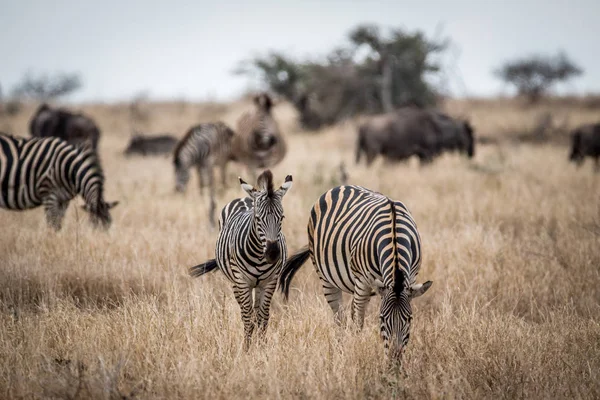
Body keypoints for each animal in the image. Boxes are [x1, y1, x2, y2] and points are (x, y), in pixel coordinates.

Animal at [188, 170, 290, 350]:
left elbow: (263, 315)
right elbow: (247, 315)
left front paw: (261, 346)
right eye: (258, 218)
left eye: (282, 217)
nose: (272, 254)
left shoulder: (270, 281)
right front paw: (247, 348)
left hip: (258, 284)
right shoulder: (242, 281)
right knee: (244, 310)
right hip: (236, 281)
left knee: (256, 311)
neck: (259, 256)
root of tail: (246, 197)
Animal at [278, 186, 434, 364]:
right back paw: (340, 350)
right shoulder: (363, 281)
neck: (394, 235)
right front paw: (357, 351)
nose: (394, 362)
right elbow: (358, 322)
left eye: (409, 319)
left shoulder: (410, 278)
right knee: (340, 318)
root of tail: (339, 187)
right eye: (381, 318)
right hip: (326, 278)